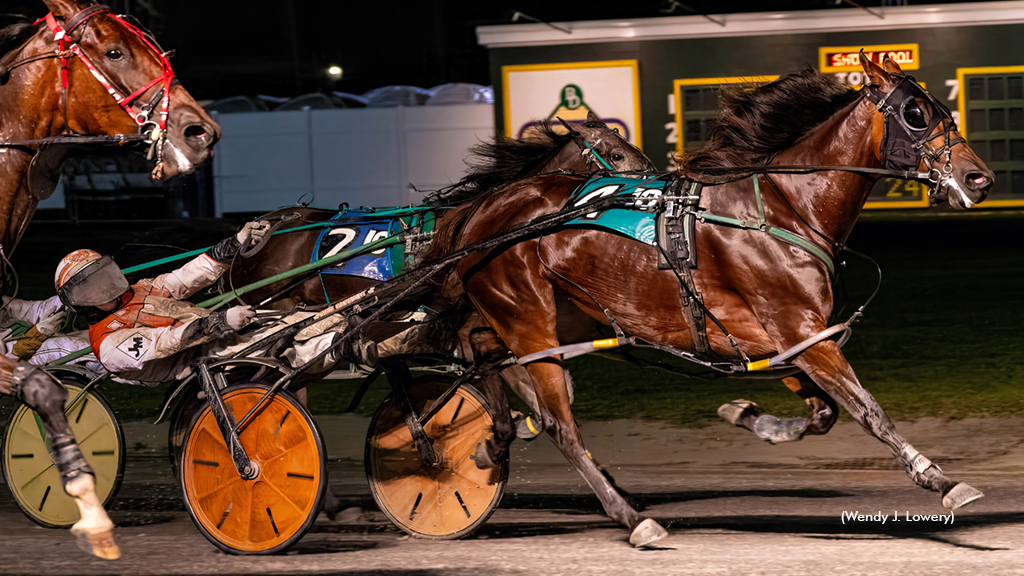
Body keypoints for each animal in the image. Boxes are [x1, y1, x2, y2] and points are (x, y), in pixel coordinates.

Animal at [428, 56, 995, 545]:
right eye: (916, 114)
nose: (980, 179)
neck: (783, 211)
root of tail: (482, 210)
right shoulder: (803, 333)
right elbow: (867, 410)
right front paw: (941, 480)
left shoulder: (781, 341)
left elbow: (822, 413)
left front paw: (748, 415)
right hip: (527, 319)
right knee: (559, 423)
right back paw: (632, 518)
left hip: (556, 317)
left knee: (480, 348)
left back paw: (495, 440)